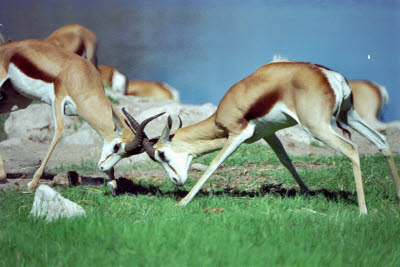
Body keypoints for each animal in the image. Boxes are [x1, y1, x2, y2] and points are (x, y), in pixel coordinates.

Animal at [0, 39, 160, 194]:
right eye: (116, 147)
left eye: (126, 155)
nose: (102, 168)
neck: (82, 76)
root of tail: (7, 47)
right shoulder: (57, 100)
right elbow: (58, 132)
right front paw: (32, 184)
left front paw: (113, 185)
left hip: (18, 101)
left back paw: (3, 176)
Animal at [131, 60, 400, 216]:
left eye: (162, 154)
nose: (176, 181)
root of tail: (329, 76)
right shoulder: (269, 134)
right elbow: (286, 161)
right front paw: (308, 193)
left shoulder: (237, 134)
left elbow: (214, 165)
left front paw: (183, 202)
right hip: (348, 114)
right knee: (382, 141)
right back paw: (397, 195)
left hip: (316, 127)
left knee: (352, 148)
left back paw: (363, 211)